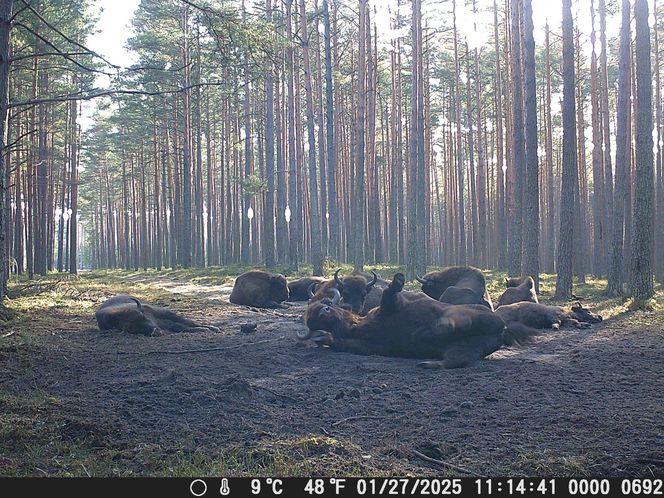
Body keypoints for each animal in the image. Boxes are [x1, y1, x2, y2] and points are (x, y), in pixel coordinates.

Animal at [302, 274, 524, 368]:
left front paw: (398, 279)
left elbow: (390, 295)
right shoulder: (369, 345)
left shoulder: (390, 307)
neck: (356, 325)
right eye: (312, 322)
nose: (323, 313)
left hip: (477, 316)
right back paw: (428, 358)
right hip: (464, 348)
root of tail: (500, 330)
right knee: (455, 360)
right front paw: (323, 338)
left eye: (327, 305)